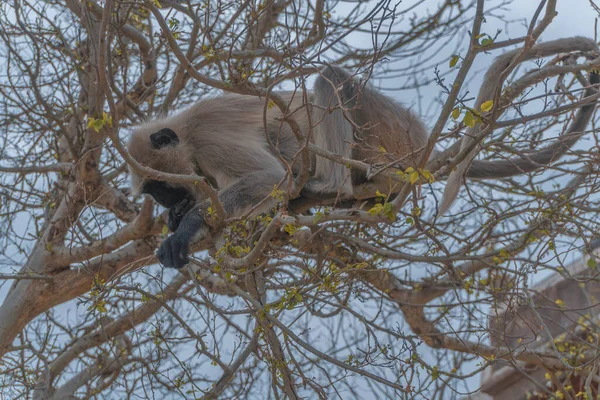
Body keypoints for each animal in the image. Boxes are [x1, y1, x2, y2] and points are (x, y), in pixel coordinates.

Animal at [129, 38, 596, 268]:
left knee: (330, 79)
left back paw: (324, 186)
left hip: (384, 131)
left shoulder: (208, 138)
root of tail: (420, 142)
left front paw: (186, 226)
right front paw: (182, 217)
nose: (167, 202)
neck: (185, 134)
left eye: (162, 188)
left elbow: (271, 178)